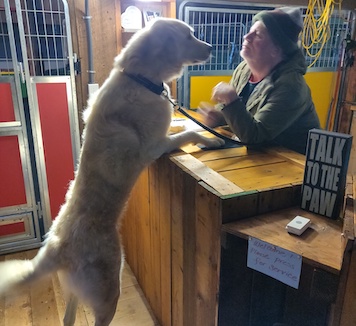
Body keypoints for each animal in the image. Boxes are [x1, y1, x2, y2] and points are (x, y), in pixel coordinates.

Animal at [0, 17, 224, 326]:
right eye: (188, 36)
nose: (212, 47)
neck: (140, 78)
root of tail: (57, 249)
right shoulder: (155, 146)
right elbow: (189, 132)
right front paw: (213, 140)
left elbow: (184, 127)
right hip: (109, 293)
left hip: (77, 291)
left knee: (68, 318)